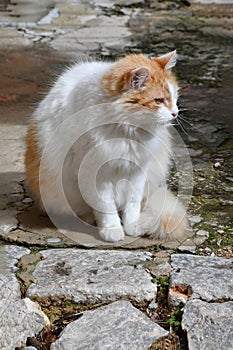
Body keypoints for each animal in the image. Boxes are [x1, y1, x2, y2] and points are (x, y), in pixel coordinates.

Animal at [25, 50, 188, 242]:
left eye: (175, 98)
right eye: (159, 100)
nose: (175, 113)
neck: (126, 130)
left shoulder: (137, 170)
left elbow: (132, 204)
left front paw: (133, 226)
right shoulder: (97, 174)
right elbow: (105, 207)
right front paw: (112, 230)